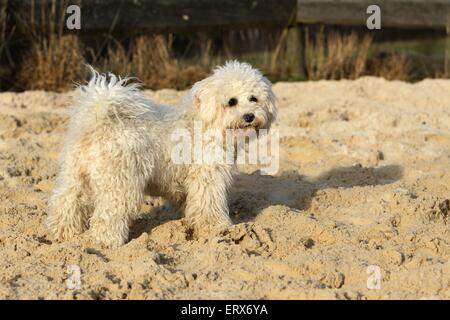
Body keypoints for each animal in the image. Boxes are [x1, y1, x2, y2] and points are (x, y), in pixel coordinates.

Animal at [46, 62, 278, 248]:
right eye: (231, 101)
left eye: (253, 98)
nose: (249, 116)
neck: (205, 122)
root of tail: (97, 121)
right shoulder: (208, 178)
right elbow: (208, 205)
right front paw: (216, 228)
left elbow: (190, 205)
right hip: (119, 184)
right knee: (108, 215)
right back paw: (107, 242)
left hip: (75, 177)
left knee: (66, 204)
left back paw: (61, 235)